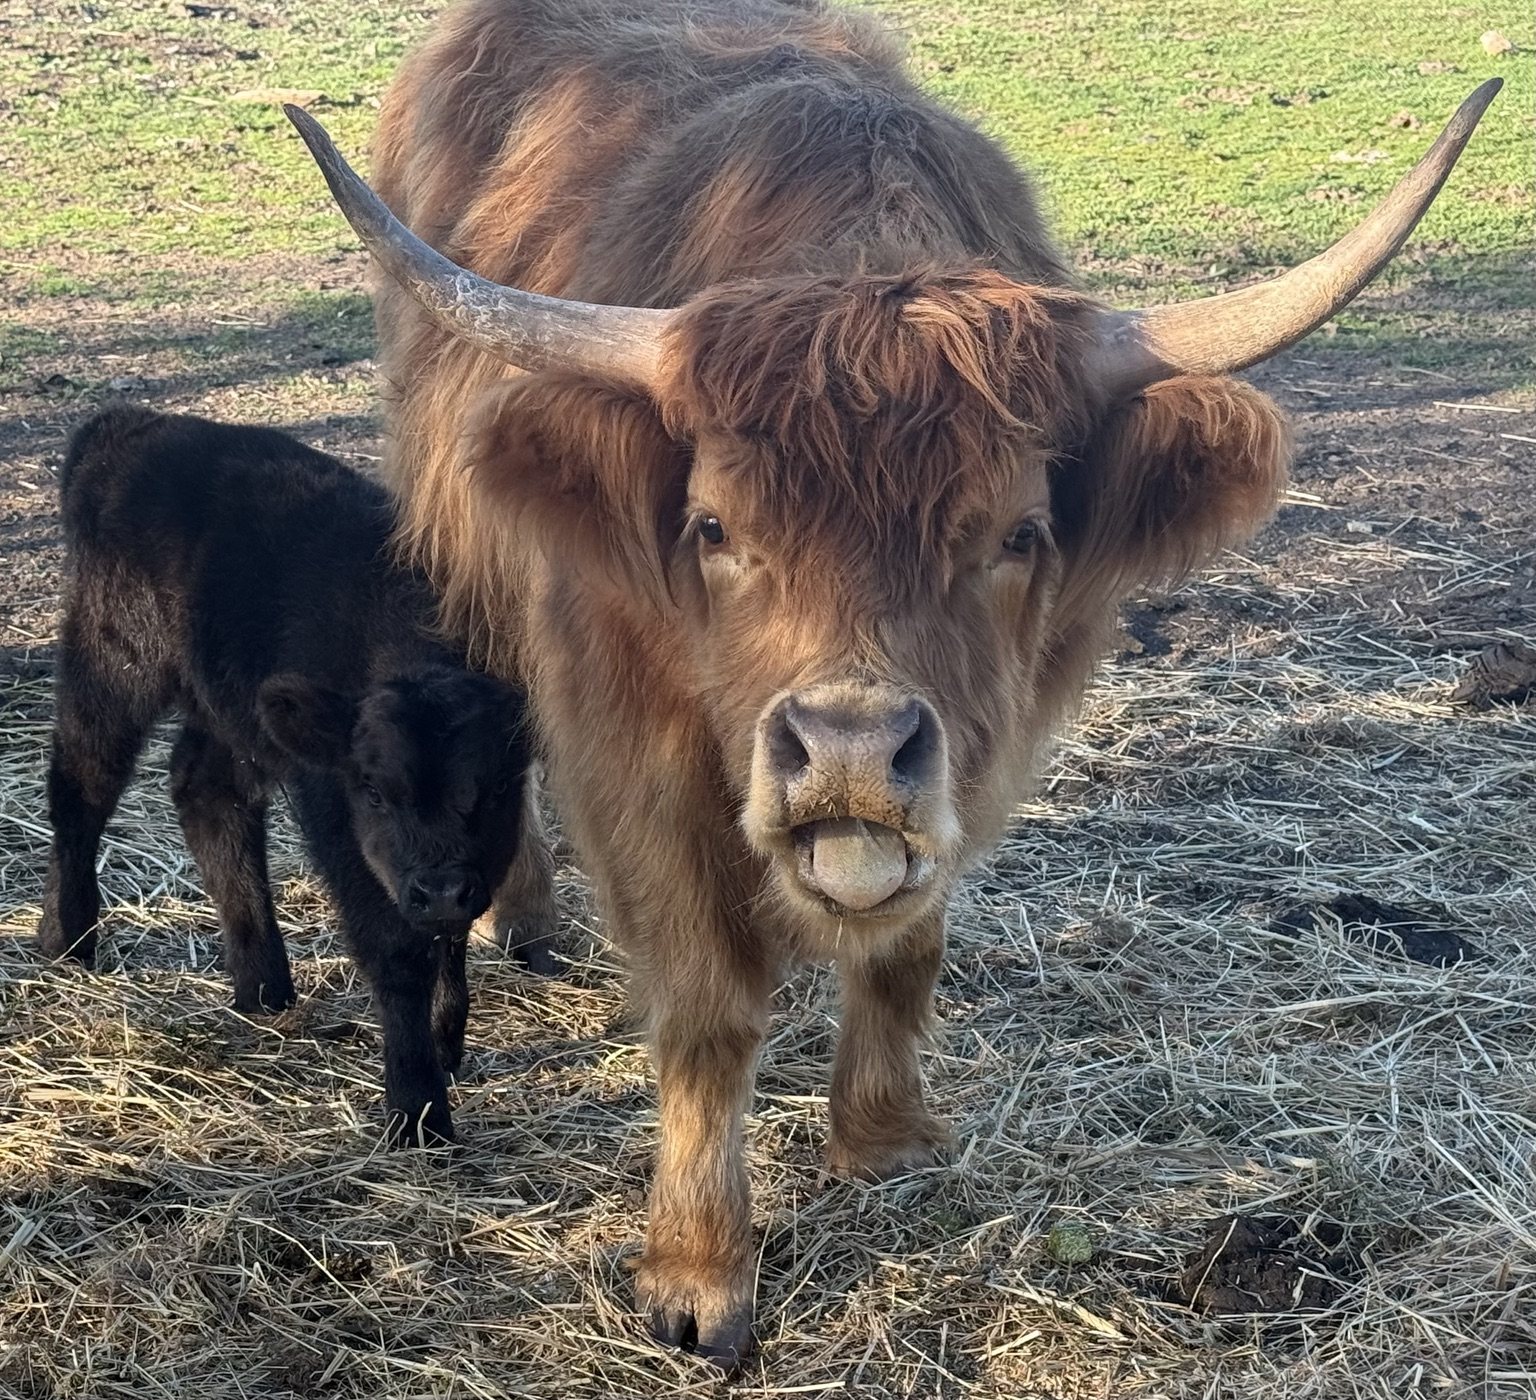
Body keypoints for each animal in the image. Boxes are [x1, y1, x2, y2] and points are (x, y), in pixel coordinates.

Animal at [38, 405, 553, 1145]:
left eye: (495, 790)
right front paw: (416, 1106)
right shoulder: (339, 821)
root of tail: (126, 426)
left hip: (225, 708)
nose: (440, 888)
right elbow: (396, 950)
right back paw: (68, 940)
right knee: (81, 787)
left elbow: (446, 939)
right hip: (111, 662)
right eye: (373, 791)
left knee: (205, 791)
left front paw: (445, 1040)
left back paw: (261, 985)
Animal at [282, 0, 1498, 1363]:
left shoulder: (978, 758)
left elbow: (910, 944)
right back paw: (521, 910)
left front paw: (884, 1137)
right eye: (714, 526)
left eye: (1018, 533)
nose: (851, 751)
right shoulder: (632, 746)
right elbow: (706, 1002)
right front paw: (697, 1269)